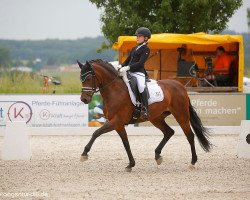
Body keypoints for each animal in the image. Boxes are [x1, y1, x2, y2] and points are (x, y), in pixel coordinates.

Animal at [77, 59, 212, 172]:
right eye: (81, 78)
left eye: (88, 77)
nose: (84, 99)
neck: (114, 90)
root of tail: (181, 86)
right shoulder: (117, 124)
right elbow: (125, 143)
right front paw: (130, 164)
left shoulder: (116, 121)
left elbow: (96, 133)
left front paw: (84, 154)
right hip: (156, 118)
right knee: (169, 132)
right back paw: (158, 156)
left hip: (181, 115)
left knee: (190, 135)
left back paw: (192, 162)